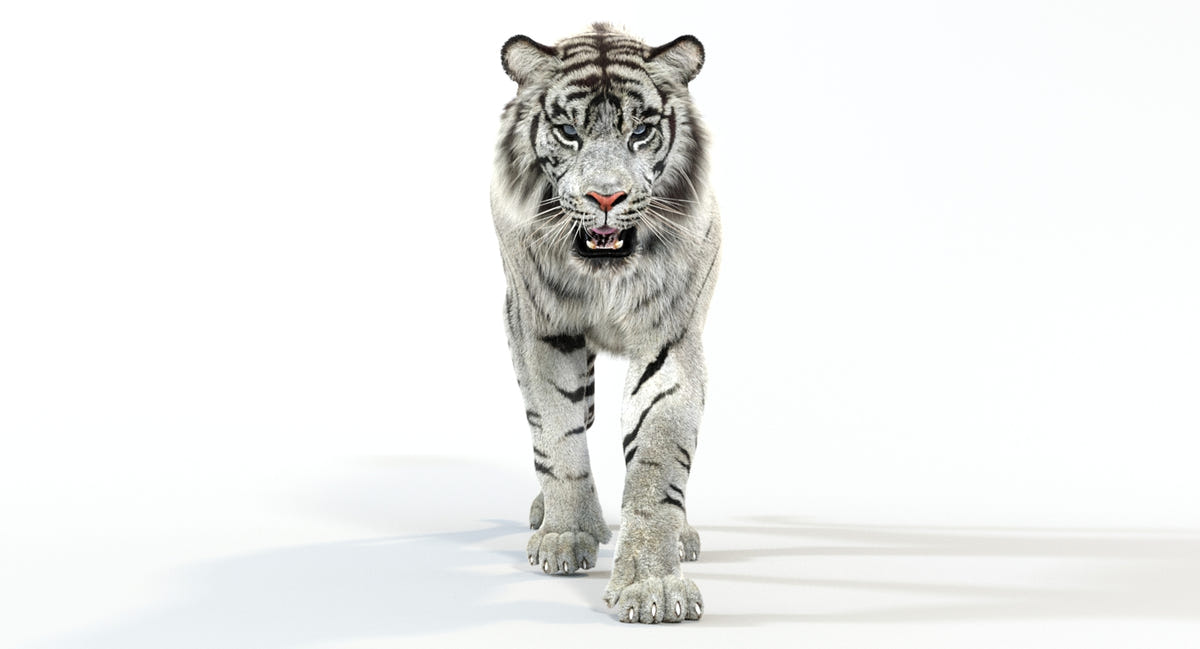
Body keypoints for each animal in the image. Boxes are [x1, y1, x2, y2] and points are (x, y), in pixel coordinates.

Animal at [490, 23, 720, 624]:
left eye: (640, 131)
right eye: (568, 132)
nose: (606, 196)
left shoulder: (670, 338)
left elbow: (659, 461)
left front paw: (653, 586)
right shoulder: (542, 329)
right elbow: (558, 435)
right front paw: (566, 537)